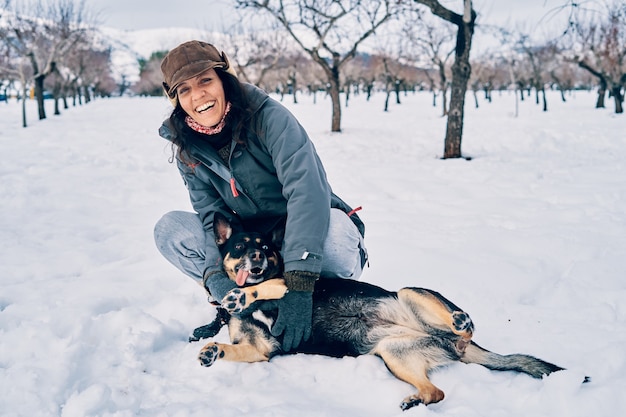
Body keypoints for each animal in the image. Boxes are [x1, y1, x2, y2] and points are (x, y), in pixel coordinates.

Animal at [194, 214, 560, 410]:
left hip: (408, 294)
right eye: (240, 246)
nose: (256, 258)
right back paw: (416, 400)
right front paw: (212, 349)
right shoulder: (259, 350)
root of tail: (451, 341)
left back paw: (460, 321)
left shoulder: (286, 285)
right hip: (393, 353)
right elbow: (229, 348)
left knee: (465, 326)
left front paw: (240, 297)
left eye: (266, 248)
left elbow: (265, 286)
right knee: (436, 392)